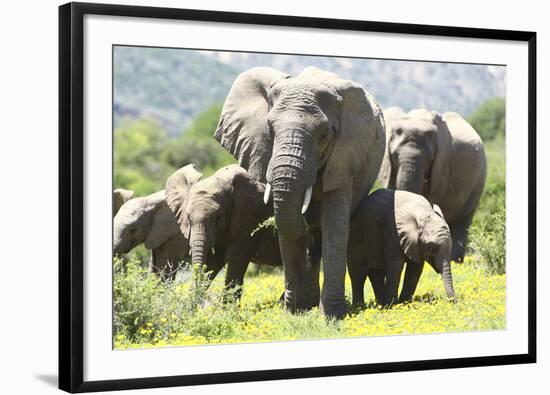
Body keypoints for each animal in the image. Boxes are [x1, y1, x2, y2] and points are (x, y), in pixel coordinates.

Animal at [213, 65, 386, 318]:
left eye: (324, 135)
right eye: (270, 129)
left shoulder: (344, 157)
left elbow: (334, 225)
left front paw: (331, 316)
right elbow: (287, 230)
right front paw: (292, 312)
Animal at [380, 107, 488, 262]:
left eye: (429, 159)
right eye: (394, 156)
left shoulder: (442, 166)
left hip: (480, 177)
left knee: (463, 220)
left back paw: (456, 261)